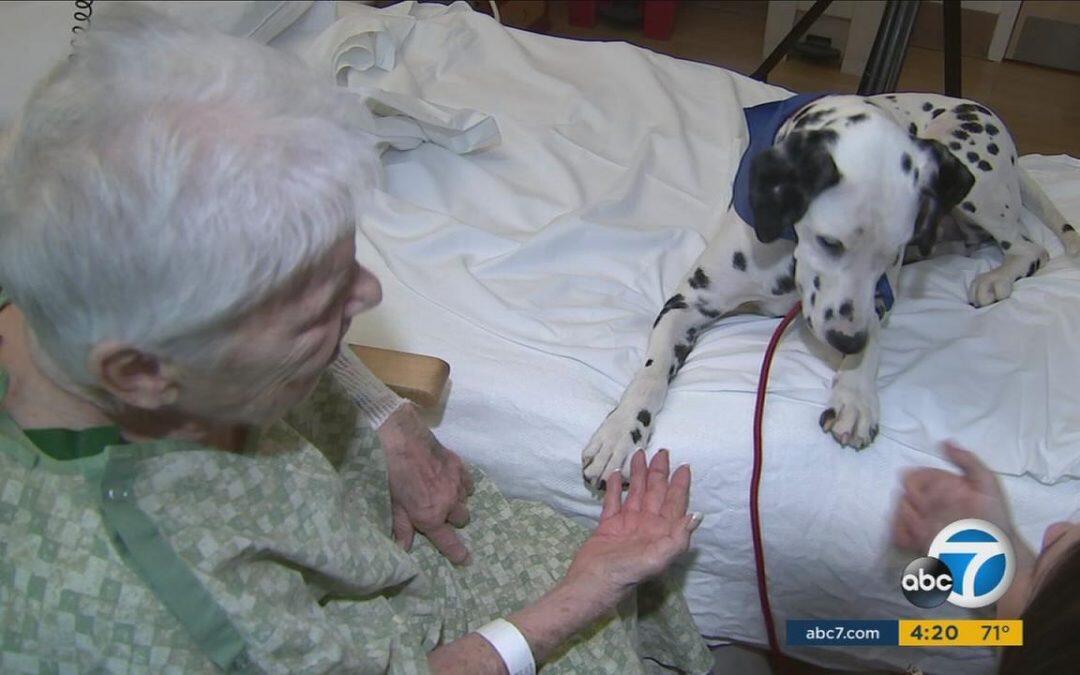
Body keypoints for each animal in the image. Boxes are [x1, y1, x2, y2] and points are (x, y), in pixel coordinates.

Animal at [587, 93, 1075, 483]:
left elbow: (873, 338)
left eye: (892, 251)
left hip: (973, 175)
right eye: (829, 242)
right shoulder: (687, 303)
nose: (847, 339)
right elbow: (651, 373)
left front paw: (855, 396)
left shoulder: (878, 298)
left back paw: (995, 277)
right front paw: (621, 429)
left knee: (1030, 247)